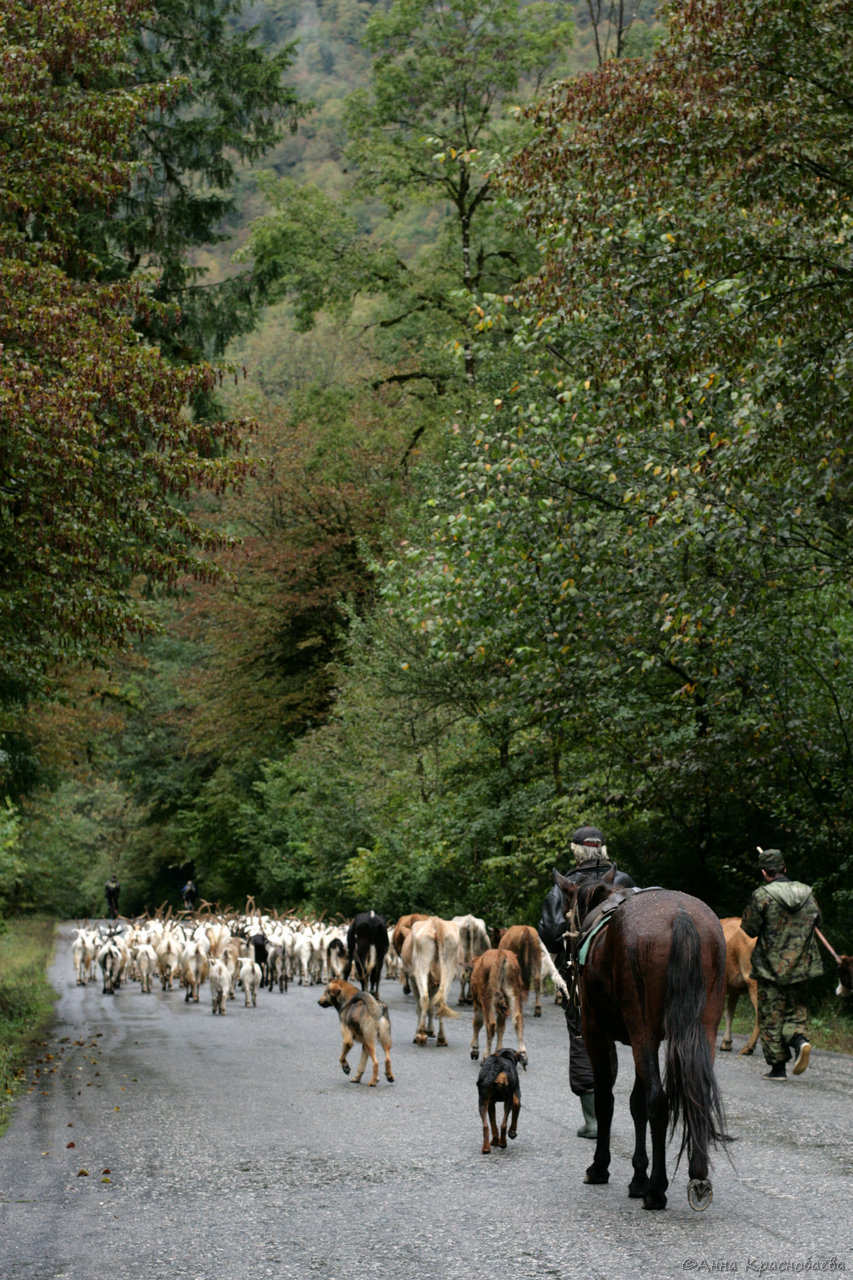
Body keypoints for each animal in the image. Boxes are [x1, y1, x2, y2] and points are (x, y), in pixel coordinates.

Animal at [555, 870, 727, 1208]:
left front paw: (601, 1167)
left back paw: (657, 1189)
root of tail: (681, 915)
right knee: (695, 1094)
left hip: (640, 1031)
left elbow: (606, 1099)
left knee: (658, 1101)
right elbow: (636, 1104)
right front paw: (637, 1176)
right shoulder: (644, 1040)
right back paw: (698, 1175)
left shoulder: (597, 1033)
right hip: (700, 1030)